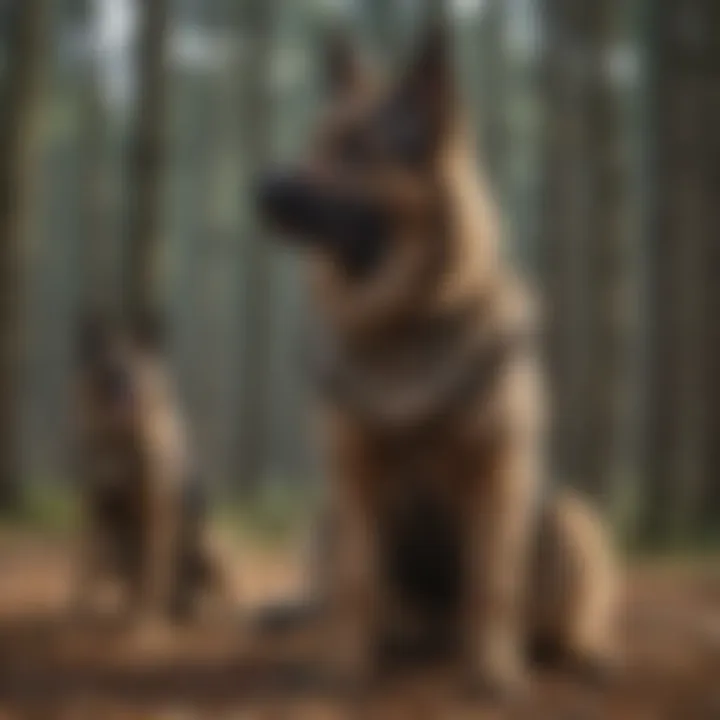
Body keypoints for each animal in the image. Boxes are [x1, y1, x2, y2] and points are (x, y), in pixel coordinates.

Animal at [73, 312, 224, 620]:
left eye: (131, 375)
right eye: (107, 374)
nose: (118, 394)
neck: (119, 442)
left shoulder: (156, 514)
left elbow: (151, 572)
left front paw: (143, 619)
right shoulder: (98, 510)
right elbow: (87, 569)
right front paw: (79, 611)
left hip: (208, 546)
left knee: (212, 591)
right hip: (120, 549)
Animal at [256, 23, 616, 696]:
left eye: (357, 150)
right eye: (318, 143)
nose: (263, 189)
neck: (405, 325)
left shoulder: (498, 471)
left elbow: (492, 586)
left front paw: (494, 670)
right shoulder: (354, 474)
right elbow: (358, 585)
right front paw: (343, 669)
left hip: (568, 515)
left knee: (562, 620)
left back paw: (584, 652)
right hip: (328, 517)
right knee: (361, 601)